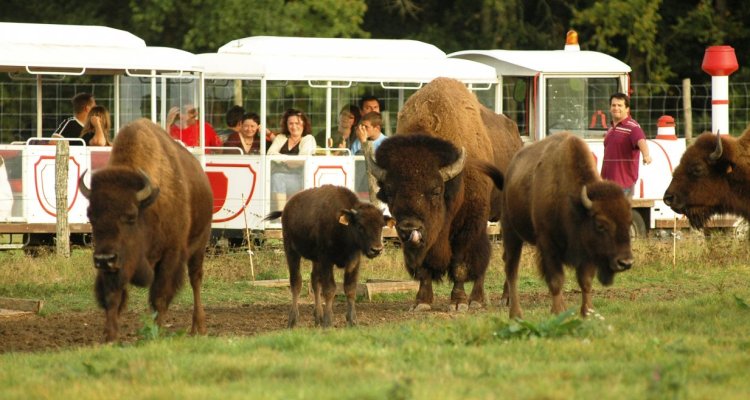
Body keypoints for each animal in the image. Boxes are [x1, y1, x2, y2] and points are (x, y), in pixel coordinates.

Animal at [79, 118, 213, 340]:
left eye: (131, 216)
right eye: (91, 216)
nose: (105, 259)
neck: (148, 207)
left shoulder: (170, 255)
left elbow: (160, 296)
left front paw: (155, 333)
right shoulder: (113, 265)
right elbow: (112, 296)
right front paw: (110, 336)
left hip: (200, 245)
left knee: (196, 279)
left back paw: (198, 327)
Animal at [262, 184, 394, 328]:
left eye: (381, 225)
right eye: (360, 226)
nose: (376, 249)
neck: (342, 226)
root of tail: (287, 207)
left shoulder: (353, 261)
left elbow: (350, 288)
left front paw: (352, 321)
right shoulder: (326, 260)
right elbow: (330, 289)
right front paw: (328, 322)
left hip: (315, 260)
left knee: (314, 281)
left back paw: (318, 317)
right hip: (291, 251)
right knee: (296, 282)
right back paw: (293, 321)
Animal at [366, 76, 524, 310]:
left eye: (435, 190)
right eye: (390, 192)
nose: (409, 227)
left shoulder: (468, 225)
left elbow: (460, 263)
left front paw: (458, 302)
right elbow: (424, 267)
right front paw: (421, 302)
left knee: (502, 256)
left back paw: (500, 299)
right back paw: (480, 298)